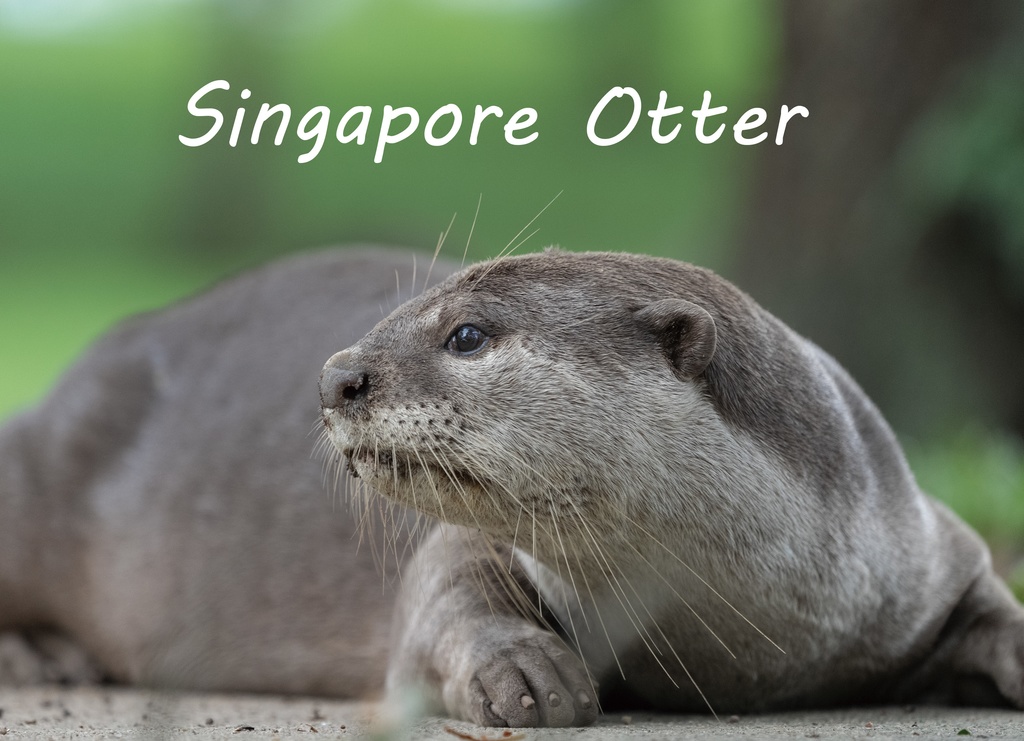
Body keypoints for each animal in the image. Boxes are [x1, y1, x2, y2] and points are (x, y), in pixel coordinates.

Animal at [1, 246, 1022, 728]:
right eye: (402, 310)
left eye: (466, 333)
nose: (335, 375)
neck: (759, 645)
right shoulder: (468, 547)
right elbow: (446, 600)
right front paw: (526, 671)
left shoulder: (922, 544)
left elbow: (991, 603)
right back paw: (40, 657)